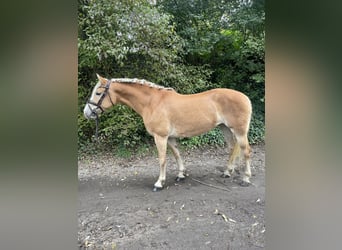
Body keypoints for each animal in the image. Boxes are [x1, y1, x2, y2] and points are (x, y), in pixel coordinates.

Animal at [84, 74, 252, 191]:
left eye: (98, 93)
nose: (87, 112)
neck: (152, 102)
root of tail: (245, 97)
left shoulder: (160, 137)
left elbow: (162, 159)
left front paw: (159, 183)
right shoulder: (170, 138)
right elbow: (177, 154)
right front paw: (181, 175)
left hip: (240, 131)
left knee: (246, 151)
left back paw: (246, 179)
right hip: (225, 128)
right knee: (232, 148)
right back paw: (227, 172)